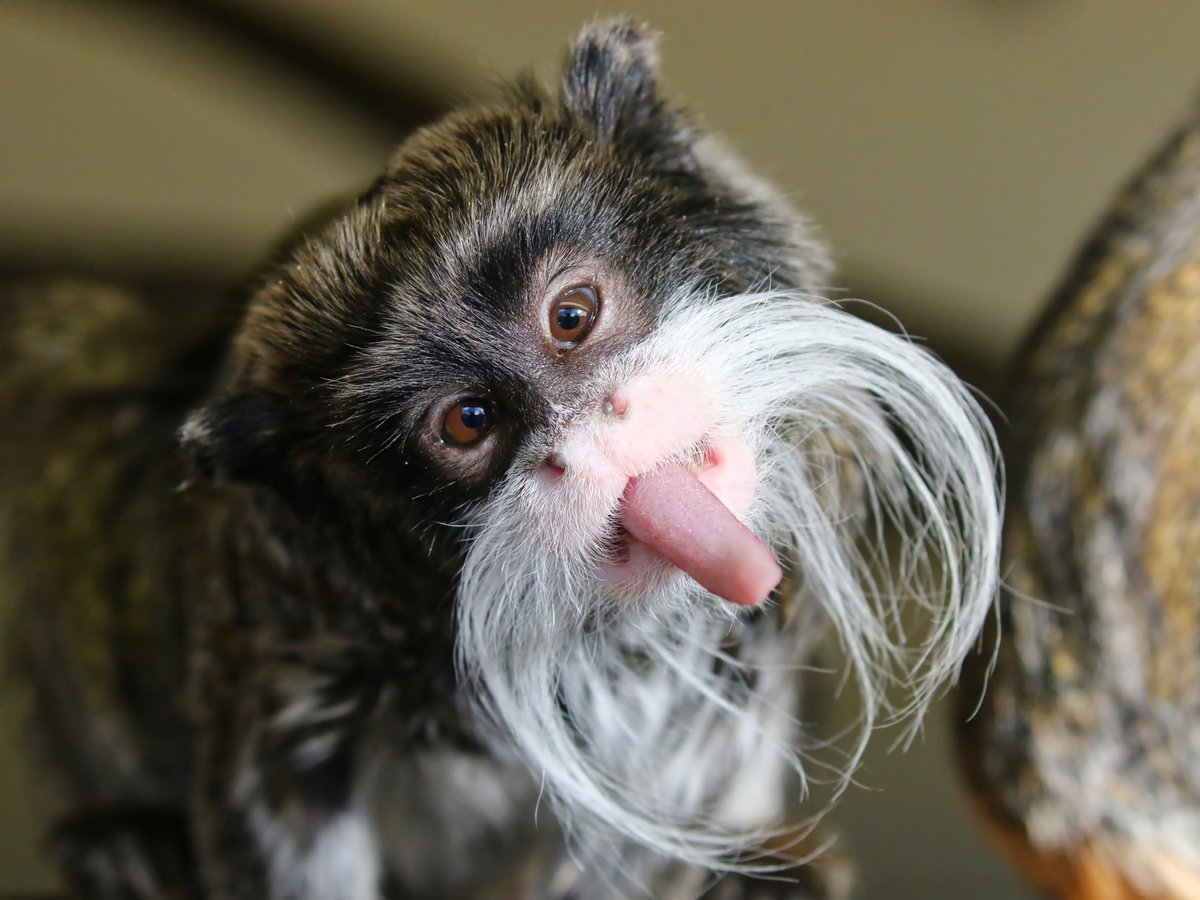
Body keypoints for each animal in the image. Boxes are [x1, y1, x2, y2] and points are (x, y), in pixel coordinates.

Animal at [2, 20, 1001, 900]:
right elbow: (280, 806)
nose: (598, 438)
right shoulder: (282, 630)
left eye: (572, 315)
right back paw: (125, 842)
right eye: (470, 422)